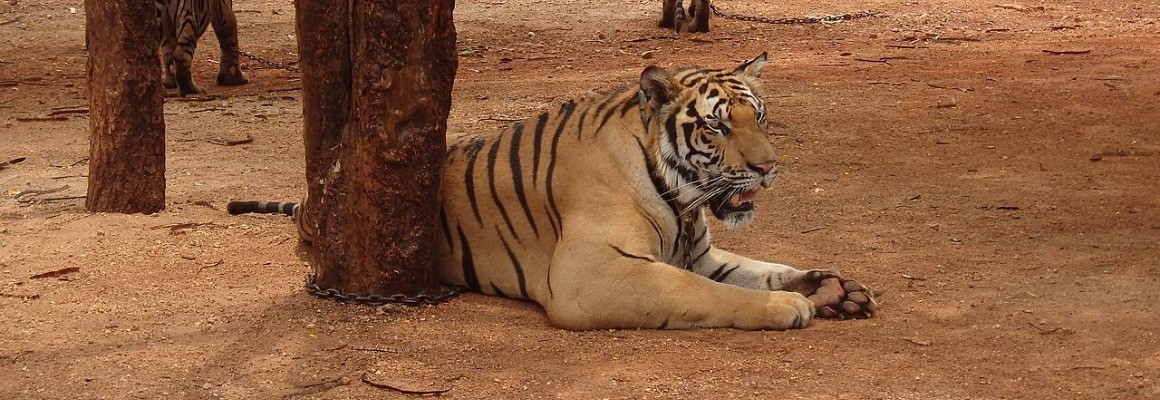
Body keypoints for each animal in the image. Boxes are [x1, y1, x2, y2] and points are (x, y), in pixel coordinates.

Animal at [229, 53, 878, 330]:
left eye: (759, 117)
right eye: (717, 127)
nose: (769, 168)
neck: (683, 199)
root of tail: (313, 200)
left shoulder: (700, 254)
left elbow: (763, 268)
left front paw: (832, 289)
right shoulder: (593, 274)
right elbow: (708, 293)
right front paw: (788, 307)